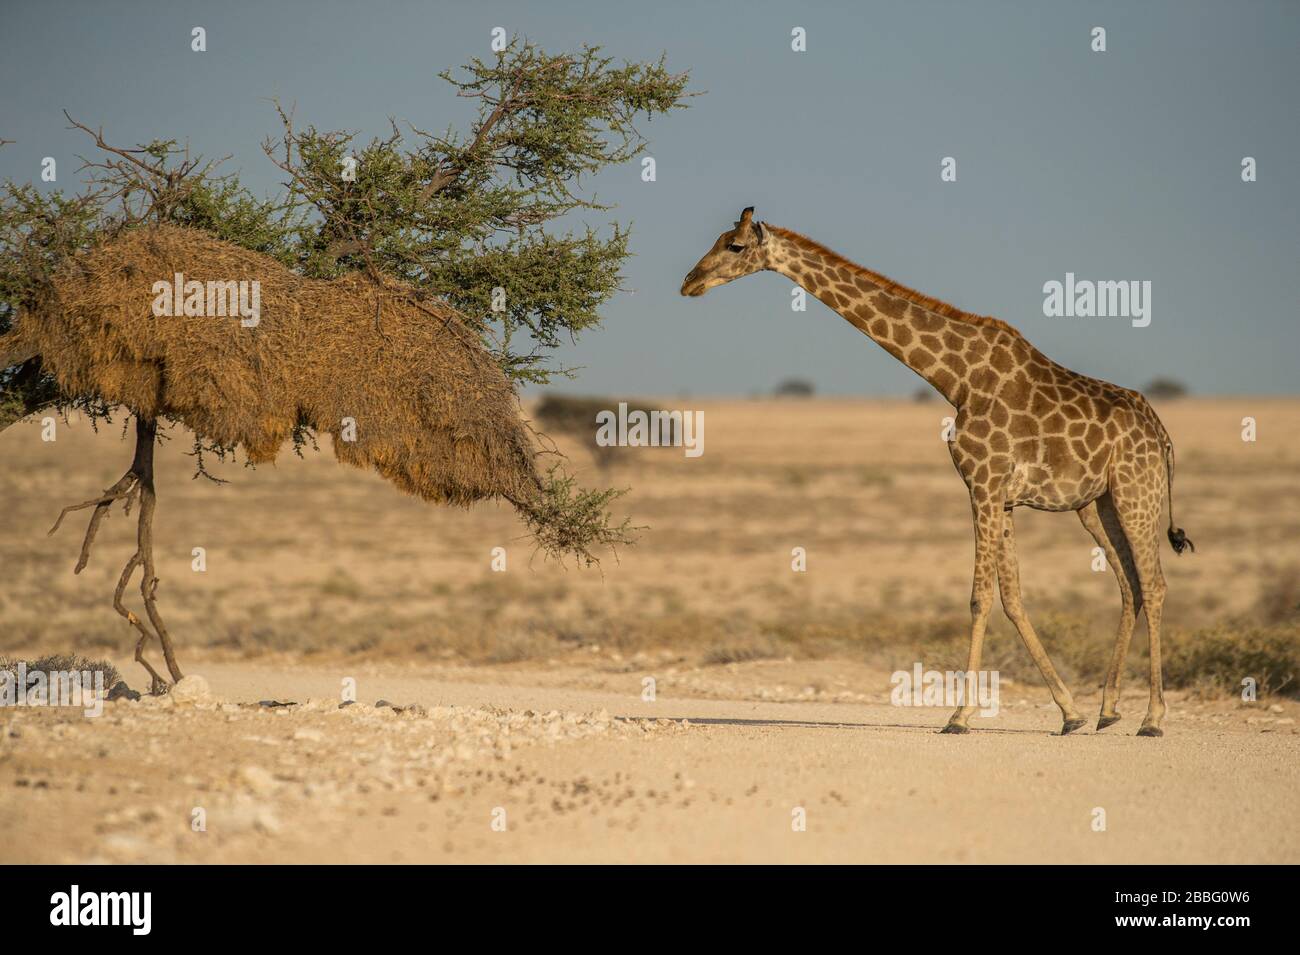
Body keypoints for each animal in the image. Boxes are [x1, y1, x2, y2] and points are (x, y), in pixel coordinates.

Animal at [686, 205, 1190, 738]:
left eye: (735, 246)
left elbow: (979, 597)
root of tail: (1163, 436)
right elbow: (1012, 597)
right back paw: (1108, 710)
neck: (957, 379)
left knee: (1154, 585)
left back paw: (1152, 718)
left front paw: (959, 716)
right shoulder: (1001, 495)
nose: (689, 282)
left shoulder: (984, 484)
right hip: (1098, 504)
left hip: (1137, 491)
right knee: (1130, 586)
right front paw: (1069, 712)